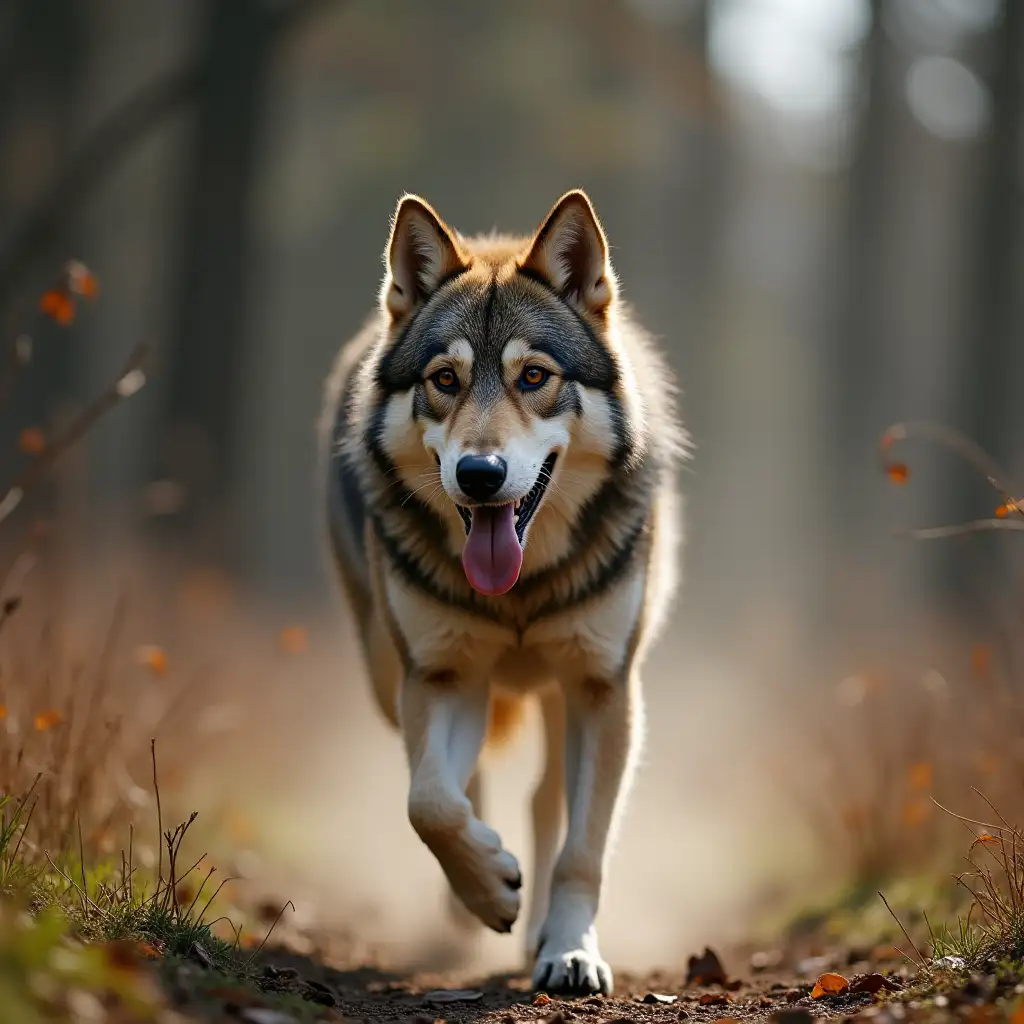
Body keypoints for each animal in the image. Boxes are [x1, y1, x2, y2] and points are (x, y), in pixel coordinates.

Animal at [319, 190, 684, 991]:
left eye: (534, 377)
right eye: (445, 380)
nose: (479, 475)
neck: (519, 591)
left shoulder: (604, 687)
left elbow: (584, 851)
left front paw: (571, 951)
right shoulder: (443, 675)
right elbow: (428, 801)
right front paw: (488, 886)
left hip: (564, 695)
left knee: (546, 798)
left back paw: (539, 932)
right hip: (388, 671)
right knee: (468, 778)